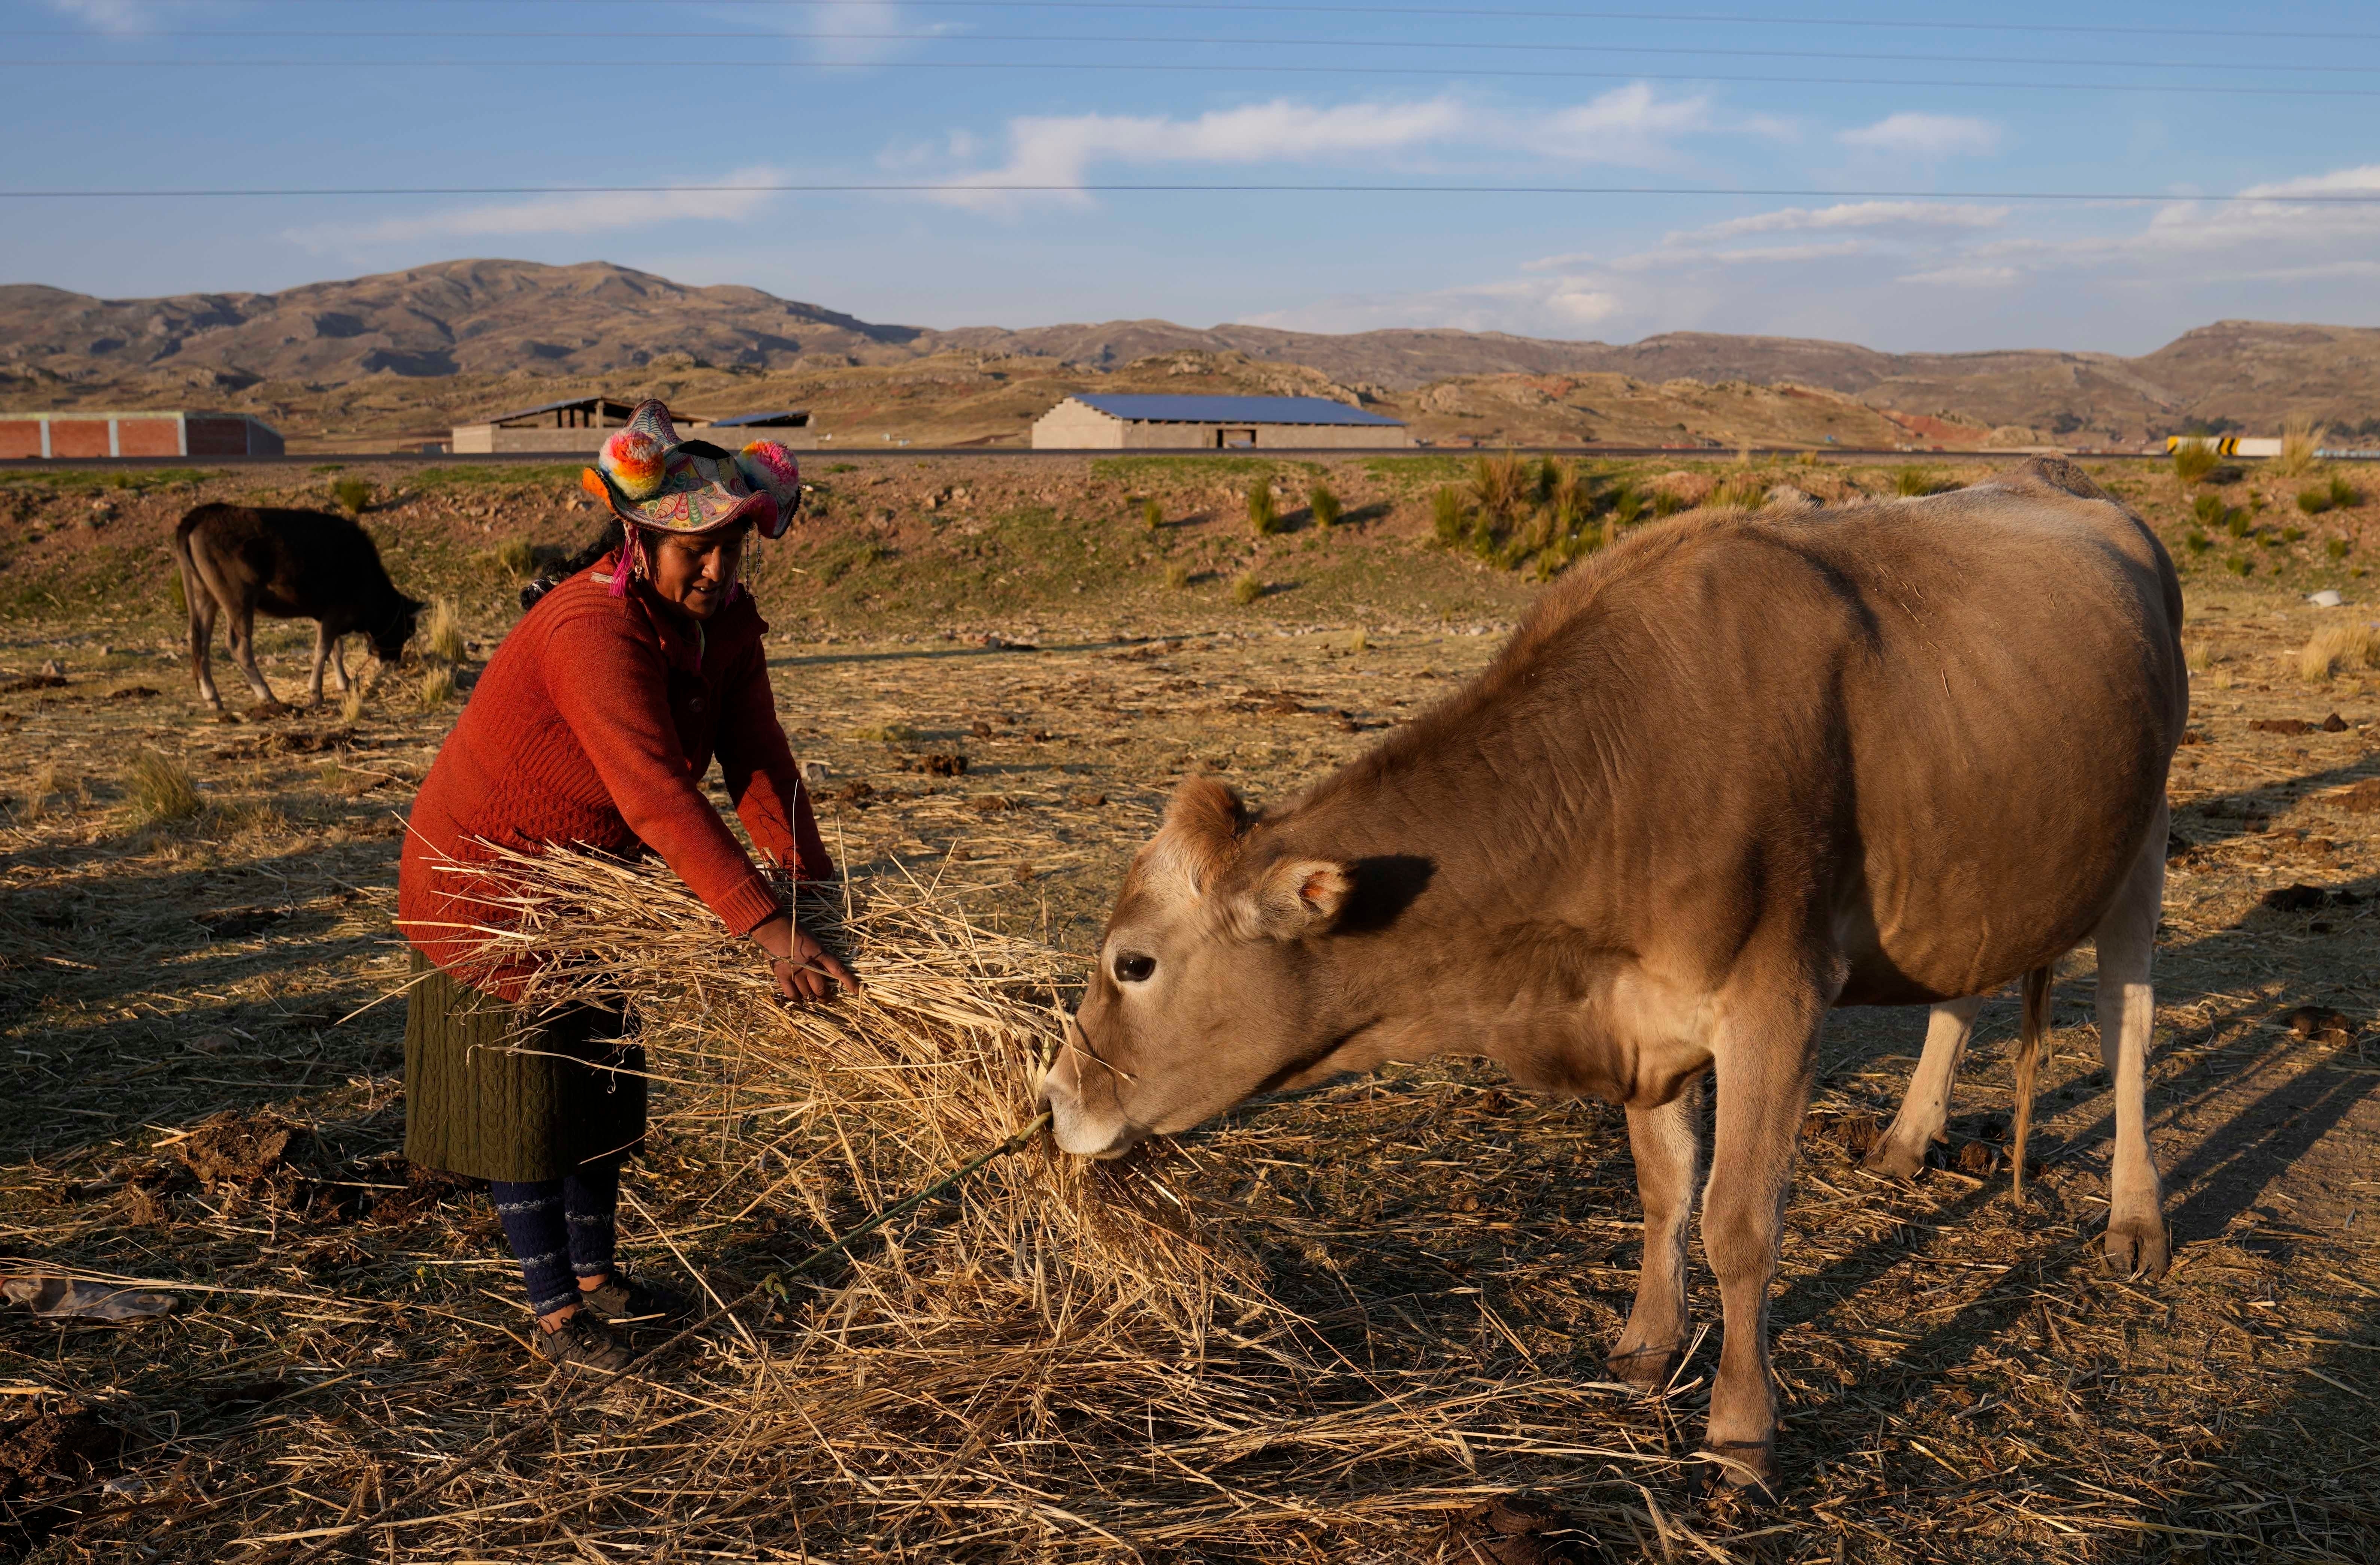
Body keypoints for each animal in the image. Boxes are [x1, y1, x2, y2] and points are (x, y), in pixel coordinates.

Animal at [174, 499, 421, 709]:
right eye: (408, 631)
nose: (394, 663)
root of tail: (203, 514)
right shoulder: (336, 609)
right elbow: (324, 648)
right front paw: (316, 693)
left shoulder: (323, 613)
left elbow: (336, 648)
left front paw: (344, 682)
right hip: (239, 599)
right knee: (238, 645)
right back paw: (268, 696)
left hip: (203, 595)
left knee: (201, 642)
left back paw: (213, 699)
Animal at [1052, 454, 2180, 1484]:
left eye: (1133, 961)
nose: (1058, 1096)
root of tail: (2078, 490)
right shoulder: (1642, 1016)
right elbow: (1663, 1188)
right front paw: (1644, 1347)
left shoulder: (1775, 1000)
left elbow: (1737, 1222)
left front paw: (1740, 1428)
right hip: (1976, 858)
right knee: (1964, 988)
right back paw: (1907, 1140)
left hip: (2140, 840)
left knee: (2127, 1024)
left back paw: (2134, 1218)